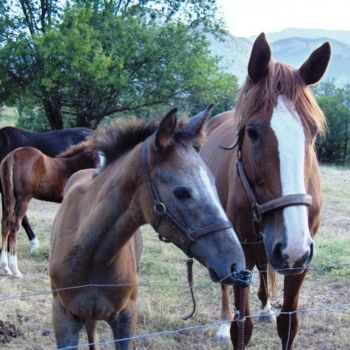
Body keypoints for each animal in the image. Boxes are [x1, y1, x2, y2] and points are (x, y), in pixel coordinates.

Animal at [0, 139, 101, 278]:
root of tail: (12, 156)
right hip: (23, 198)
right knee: (14, 224)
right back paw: (15, 269)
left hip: (8, 196)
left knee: (5, 222)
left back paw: (5, 267)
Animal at [48, 108, 246, 348]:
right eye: (181, 192)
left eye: (213, 182)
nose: (236, 265)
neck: (90, 252)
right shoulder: (63, 319)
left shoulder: (126, 317)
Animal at [200, 33, 330, 350]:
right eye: (252, 132)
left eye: (312, 132)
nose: (292, 246)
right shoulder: (244, 250)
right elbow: (241, 326)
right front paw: (231, 326)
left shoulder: (301, 258)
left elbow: (288, 324)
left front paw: (271, 312)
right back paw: (221, 324)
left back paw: (265, 308)